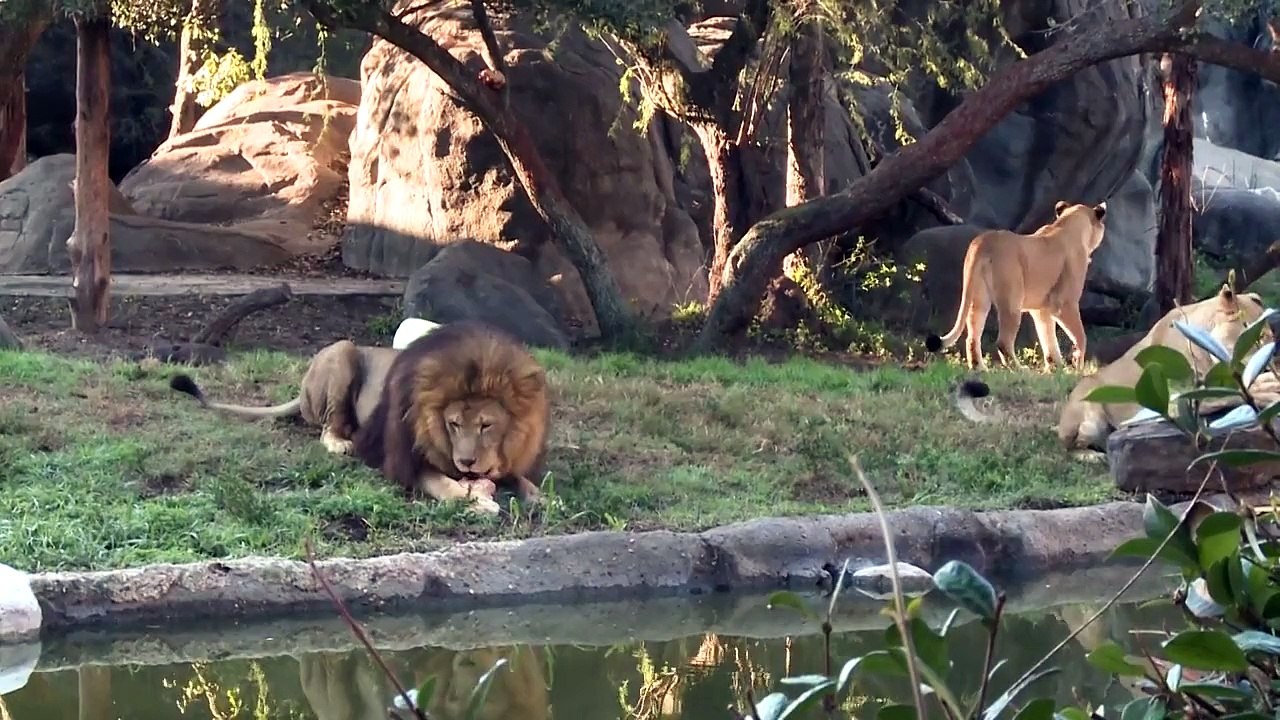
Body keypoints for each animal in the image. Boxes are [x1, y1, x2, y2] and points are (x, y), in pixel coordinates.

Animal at [352, 319, 551, 516]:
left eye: (486, 425)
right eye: (454, 423)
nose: (467, 462)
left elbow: (519, 477)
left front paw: (542, 498)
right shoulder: (403, 460)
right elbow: (440, 481)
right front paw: (476, 502)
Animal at [924, 201, 1109, 372]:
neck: (1068, 224)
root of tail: (984, 240)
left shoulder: (1041, 309)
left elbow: (1047, 336)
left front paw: (1055, 367)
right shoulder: (1063, 303)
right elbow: (1080, 335)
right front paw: (1077, 366)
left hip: (979, 298)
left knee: (972, 336)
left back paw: (980, 368)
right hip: (1012, 300)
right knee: (1003, 341)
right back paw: (1020, 369)